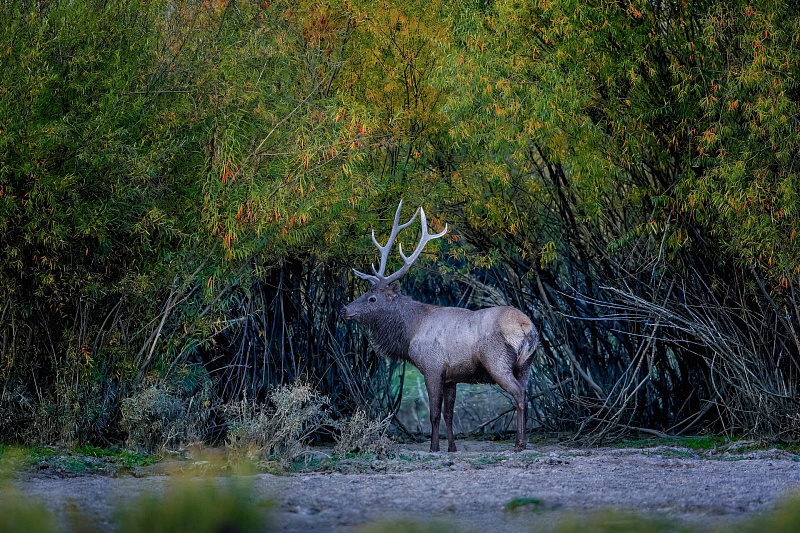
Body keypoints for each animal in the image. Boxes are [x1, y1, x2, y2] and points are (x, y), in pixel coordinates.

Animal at [340, 200, 539, 452]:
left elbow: (434, 413)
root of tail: (526, 327)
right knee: (526, 392)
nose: (344, 310)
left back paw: (519, 444)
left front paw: (434, 448)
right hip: (526, 364)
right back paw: (522, 441)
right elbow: (449, 414)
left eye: (372, 298)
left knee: (519, 394)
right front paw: (452, 447)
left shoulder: (432, 367)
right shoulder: (451, 377)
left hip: (497, 361)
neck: (410, 333)